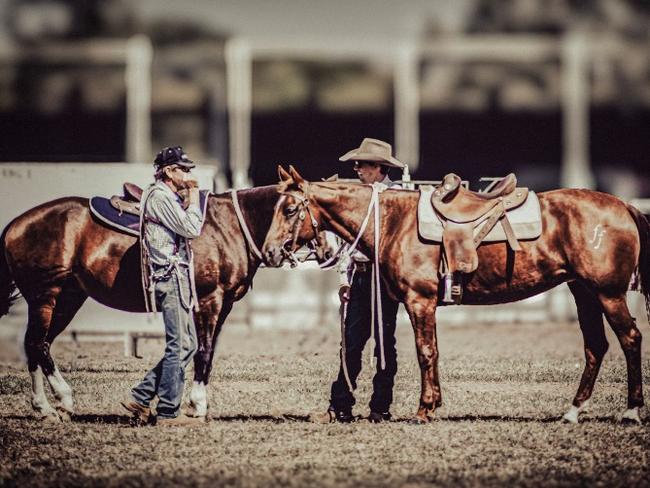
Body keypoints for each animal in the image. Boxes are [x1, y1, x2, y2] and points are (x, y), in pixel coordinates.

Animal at [0, 185, 324, 422]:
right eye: (290, 209)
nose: (273, 252)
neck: (229, 226)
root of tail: (15, 224)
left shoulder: (222, 304)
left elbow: (195, 349)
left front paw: (145, 402)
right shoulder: (210, 299)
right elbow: (203, 351)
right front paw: (197, 404)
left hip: (68, 298)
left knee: (40, 345)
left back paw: (57, 404)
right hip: (45, 297)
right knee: (35, 344)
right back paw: (49, 404)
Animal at [262, 167, 648, 424]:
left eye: (290, 209)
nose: (269, 252)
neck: (394, 221)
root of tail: (625, 207)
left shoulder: (420, 301)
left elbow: (426, 352)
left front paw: (424, 408)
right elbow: (427, 351)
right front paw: (432, 404)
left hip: (608, 293)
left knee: (630, 338)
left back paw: (631, 411)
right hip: (584, 292)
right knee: (595, 346)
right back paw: (572, 412)